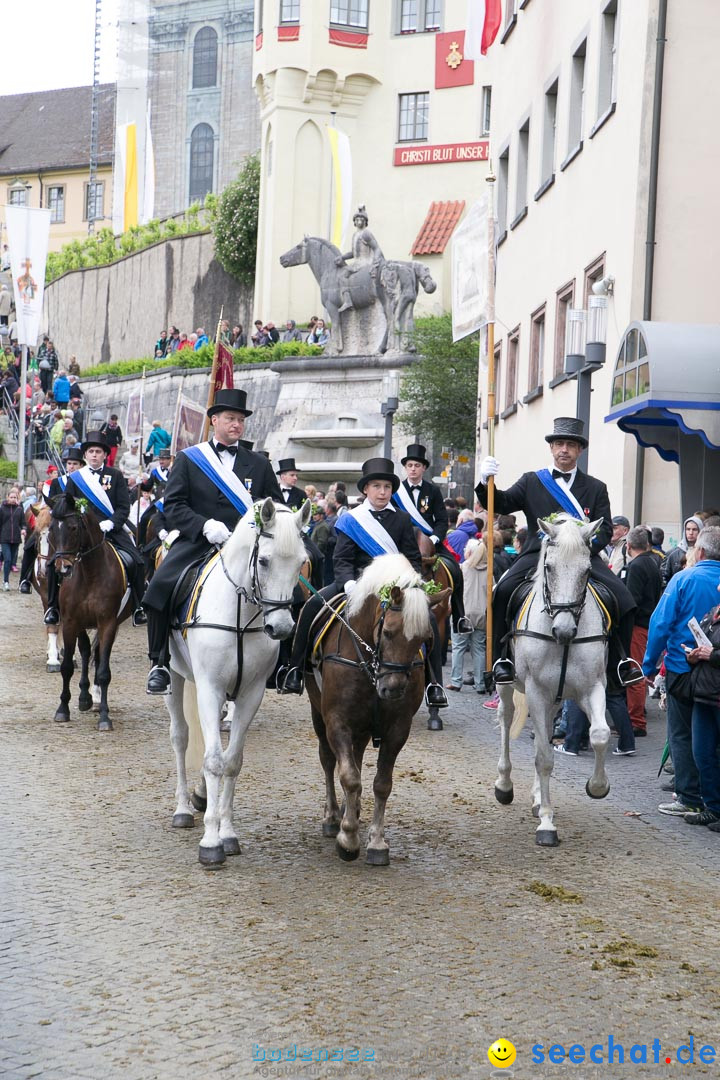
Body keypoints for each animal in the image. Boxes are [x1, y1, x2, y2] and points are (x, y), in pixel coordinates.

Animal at [49, 492, 132, 730]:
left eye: (73, 527)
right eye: (52, 529)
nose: (62, 568)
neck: (89, 573)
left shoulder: (108, 622)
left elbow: (104, 671)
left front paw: (104, 716)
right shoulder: (70, 622)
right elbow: (67, 666)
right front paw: (63, 709)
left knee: (97, 653)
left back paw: (94, 698)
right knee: (87, 650)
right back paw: (85, 697)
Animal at [165, 498, 310, 868]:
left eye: (301, 562)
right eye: (264, 560)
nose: (281, 628)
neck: (241, 615)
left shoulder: (250, 694)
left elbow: (231, 761)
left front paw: (227, 833)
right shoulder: (210, 689)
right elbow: (213, 759)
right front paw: (210, 840)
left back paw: (202, 797)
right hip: (174, 675)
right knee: (180, 737)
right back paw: (183, 808)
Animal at [306, 552, 451, 864]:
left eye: (423, 638)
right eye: (387, 632)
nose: (393, 690)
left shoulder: (397, 730)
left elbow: (380, 783)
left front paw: (376, 842)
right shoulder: (337, 722)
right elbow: (348, 777)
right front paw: (347, 839)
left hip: (361, 728)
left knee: (357, 759)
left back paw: (352, 811)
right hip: (319, 714)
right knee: (329, 761)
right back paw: (333, 817)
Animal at [498, 509, 613, 846]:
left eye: (587, 571)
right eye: (549, 567)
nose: (564, 631)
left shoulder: (592, 688)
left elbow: (599, 734)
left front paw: (597, 786)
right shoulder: (536, 691)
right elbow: (544, 757)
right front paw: (548, 825)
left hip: (554, 700)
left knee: (545, 732)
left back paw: (538, 799)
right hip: (510, 686)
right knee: (507, 719)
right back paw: (504, 785)